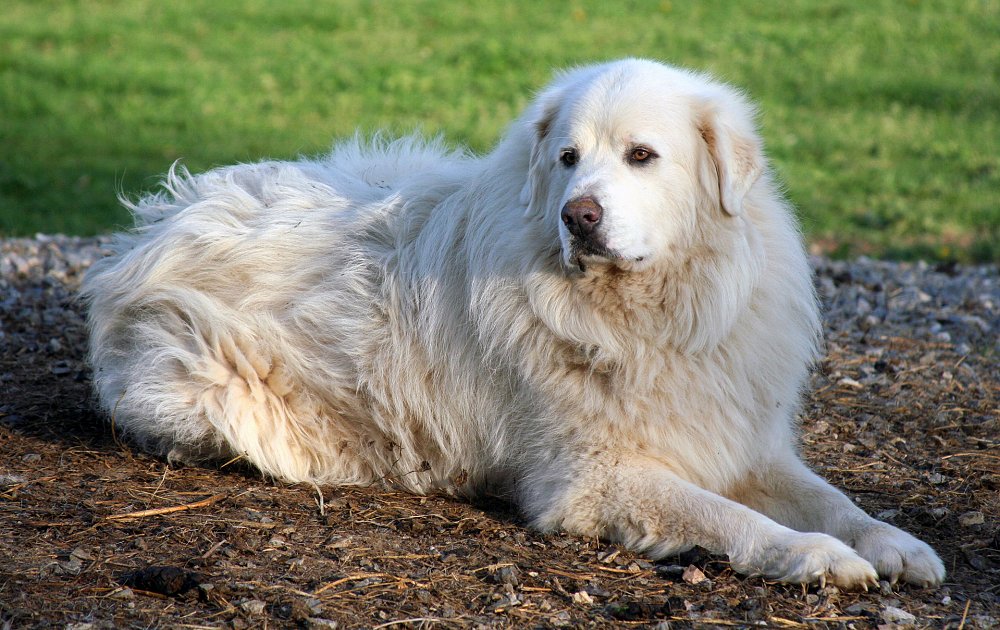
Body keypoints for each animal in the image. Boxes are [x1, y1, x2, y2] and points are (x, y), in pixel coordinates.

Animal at [84, 59, 944, 592]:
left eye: (642, 156)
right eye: (567, 157)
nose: (579, 216)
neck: (648, 314)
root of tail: (157, 219)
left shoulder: (738, 439)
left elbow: (833, 500)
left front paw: (894, 543)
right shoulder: (598, 479)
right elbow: (732, 519)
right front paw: (813, 556)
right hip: (217, 395)